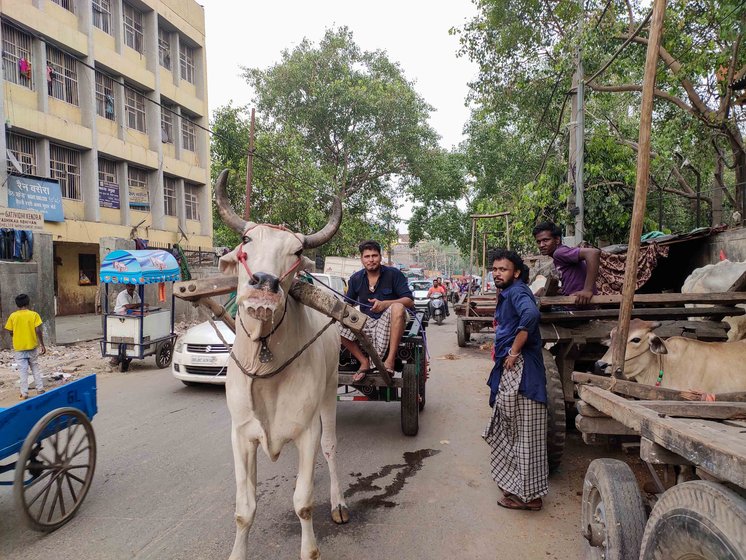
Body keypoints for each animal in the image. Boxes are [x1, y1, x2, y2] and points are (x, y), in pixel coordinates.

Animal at [212, 171, 346, 560]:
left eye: (297, 252)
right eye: (246, 239)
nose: (264, 283)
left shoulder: (306, 432)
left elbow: (303, 503)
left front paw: (310, 550)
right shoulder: (240, 434)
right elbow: (244, 508)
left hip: (330, 390)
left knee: (330, 447)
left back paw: (338, 501)